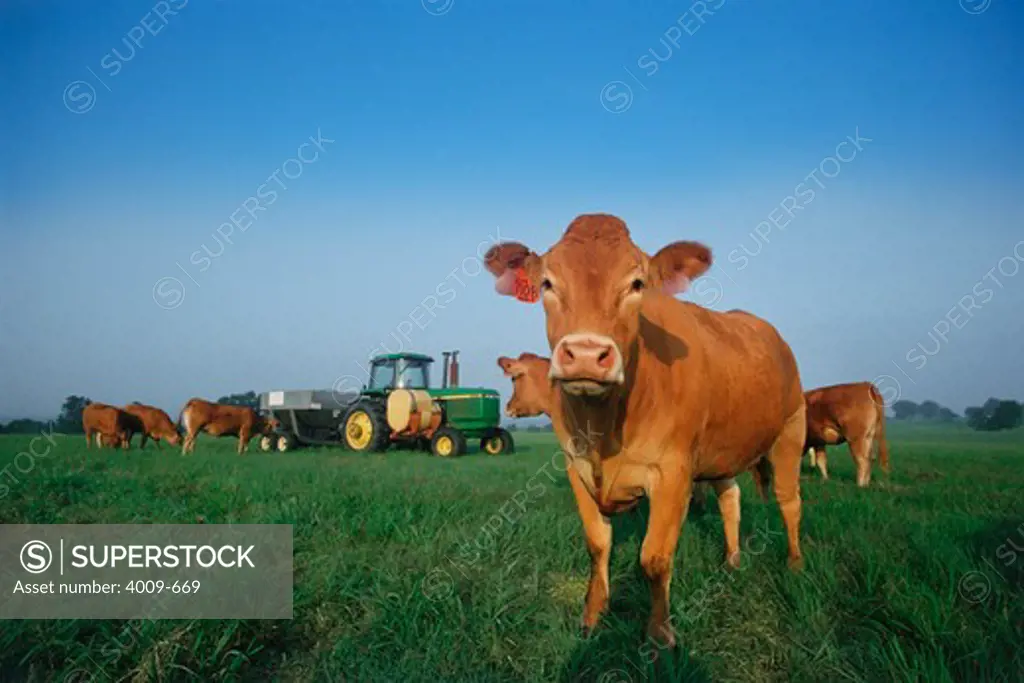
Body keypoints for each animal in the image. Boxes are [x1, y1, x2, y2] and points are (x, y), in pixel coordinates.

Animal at [483, 214, 802, 647]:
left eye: (636, 284)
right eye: (547, 283)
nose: (586, 355)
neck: (603, 427)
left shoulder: (673, 473)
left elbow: (654, 559)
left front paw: (660, 635)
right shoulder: (575, 468)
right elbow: (597, 545)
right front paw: (592, 617)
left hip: (790, 431)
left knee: (789, 501)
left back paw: (795, 563)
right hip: (722, 449)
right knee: (730, 498)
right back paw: (733, 560)